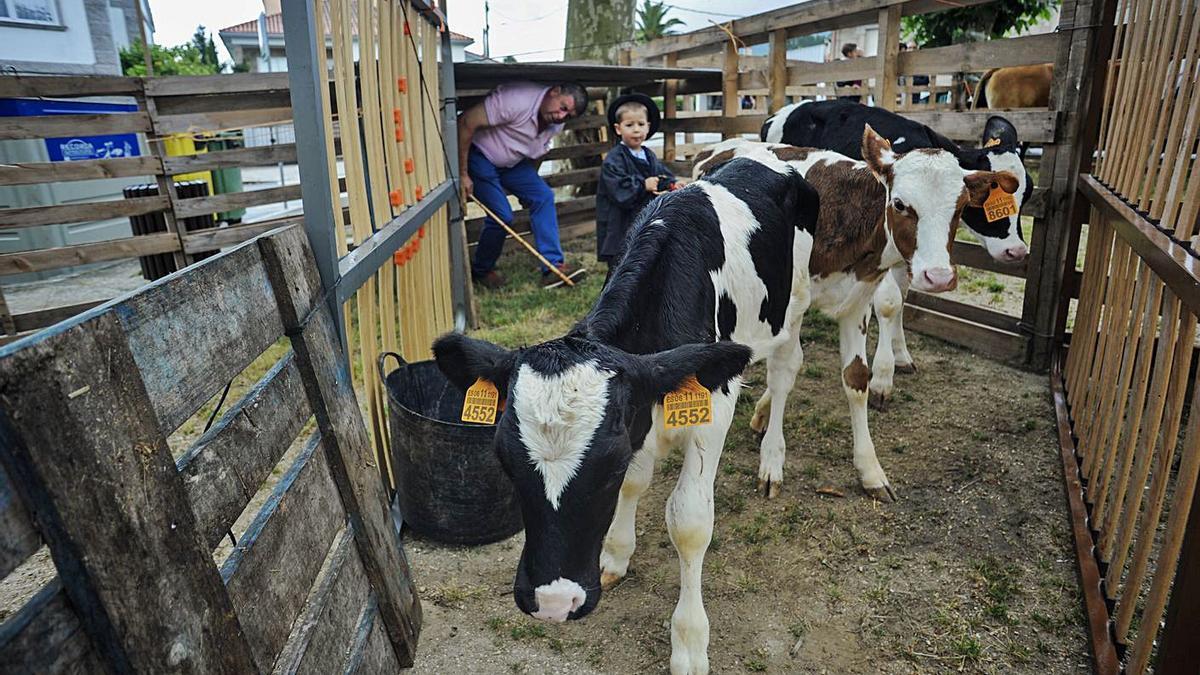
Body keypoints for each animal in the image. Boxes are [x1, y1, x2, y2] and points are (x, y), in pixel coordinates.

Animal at [436, 148, 820, 672]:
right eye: (503, 460)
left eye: (608, 464)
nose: (554, 602)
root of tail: (761, 155)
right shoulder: (639, 410)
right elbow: (637, 484)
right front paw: (616, 555)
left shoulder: (713, 403)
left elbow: (689, 521)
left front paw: (690, 642)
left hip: (794, 303)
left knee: (785, 370)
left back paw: (771, 458)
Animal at [758, 99, 1032, 403]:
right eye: (988, 200)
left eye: (1027, 193)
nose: (1016, 250)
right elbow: (889, 302)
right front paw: (882, 377)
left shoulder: (906, 254)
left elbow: (902, 299)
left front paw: (900, 356)